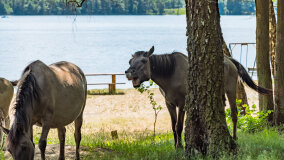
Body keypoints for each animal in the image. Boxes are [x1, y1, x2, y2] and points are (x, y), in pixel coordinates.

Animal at [125, 46, 272, 149]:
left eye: (143, 60)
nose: (128, 72)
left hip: (231, 89)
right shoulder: (169, 104)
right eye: (130, 61)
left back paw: (234, 137)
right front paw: (175, 145)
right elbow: (173, 126)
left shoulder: (182, 103)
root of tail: (229, 60)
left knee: (234, 114)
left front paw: (180, 146)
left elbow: (179, 126)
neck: (170, 73)